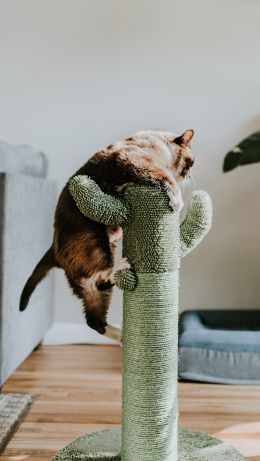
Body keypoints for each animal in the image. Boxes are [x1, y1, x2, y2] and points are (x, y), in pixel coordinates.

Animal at [19, 129, 194, 342]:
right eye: (191, 162)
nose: (189, 175)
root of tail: (52, 249)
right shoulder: (136, 161)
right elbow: (166, 179)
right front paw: (177, 202)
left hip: (95, 272)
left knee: (94, 318)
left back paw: (121, 336)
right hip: (96, 245)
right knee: (100, 281)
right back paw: (123, 268)